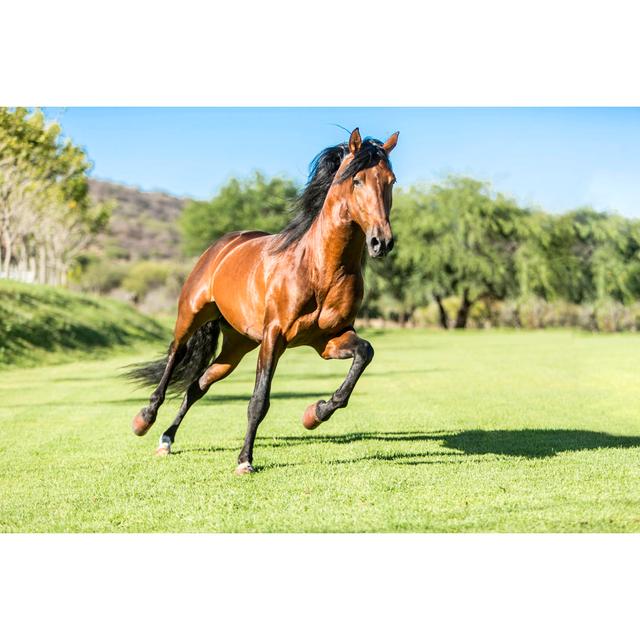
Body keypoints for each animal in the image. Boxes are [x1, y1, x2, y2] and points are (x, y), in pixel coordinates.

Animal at [127, 127, 398, 472]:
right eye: (357, 180)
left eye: (391, 181)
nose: (381, 242)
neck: (319, 269)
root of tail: (224, 245)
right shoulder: (274, 336)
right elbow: (259, 400)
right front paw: (245, 461)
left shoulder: (329, 340)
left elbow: (364, 354)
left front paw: (314, 414)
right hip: (191, 316)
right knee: (176, 356)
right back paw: (144, 420)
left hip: (236, 345)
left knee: (197, 386)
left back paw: (166, 440)